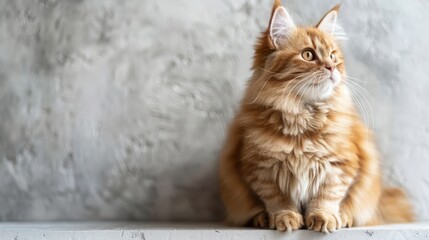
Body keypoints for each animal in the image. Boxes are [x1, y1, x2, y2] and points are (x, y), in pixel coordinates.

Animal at [219, 0, 412, 232]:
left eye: (333, 56)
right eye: (308, 55)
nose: (331, 67)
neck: (304, 118)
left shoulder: (339, 168)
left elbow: (327, 197)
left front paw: (324, 218)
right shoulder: (262, 170)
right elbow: (278, 200)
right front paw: (285, 218)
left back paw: (343, 217)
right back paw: (262, 219)